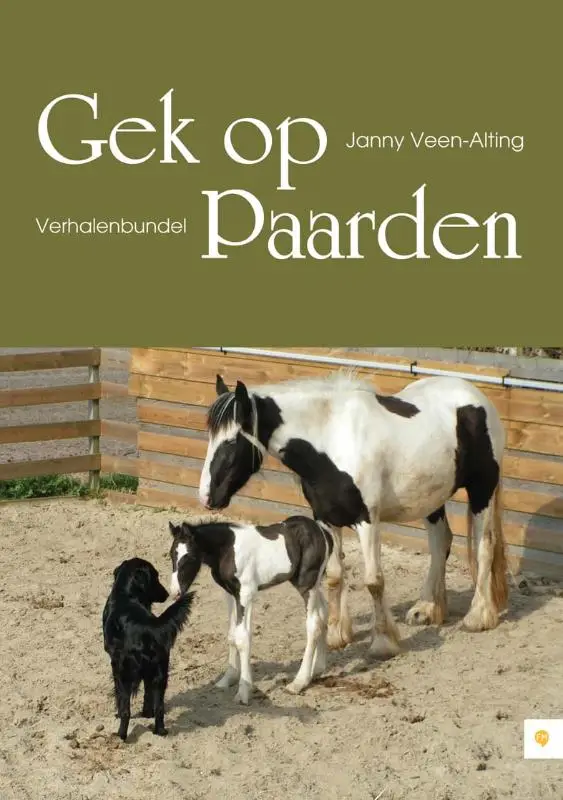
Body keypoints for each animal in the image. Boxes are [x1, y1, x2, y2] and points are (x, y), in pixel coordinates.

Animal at [198, 371, 508, 659]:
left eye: (231, 442)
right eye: (211, 437)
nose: (207, 497)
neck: (330, 440)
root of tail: (476, 397)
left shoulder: (366, 520)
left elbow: (374, 581)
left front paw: (383, 642)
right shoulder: (327, 519)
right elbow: (335, 576)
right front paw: (337, 635)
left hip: (482, 490)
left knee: (484, 546)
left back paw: (479, 616)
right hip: (432, 498)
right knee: (440, 542)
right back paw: (428, 609)